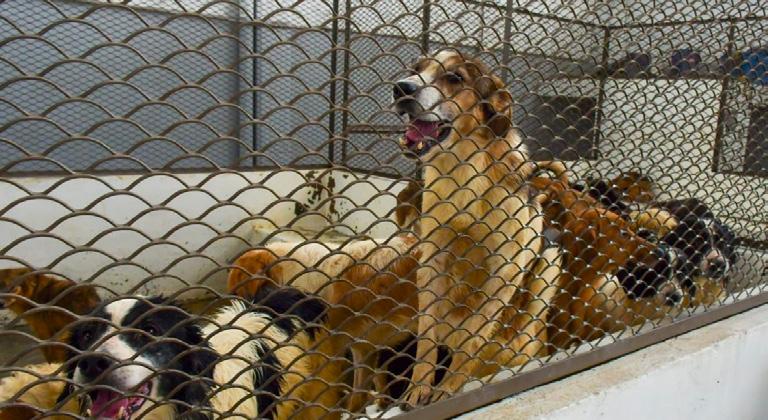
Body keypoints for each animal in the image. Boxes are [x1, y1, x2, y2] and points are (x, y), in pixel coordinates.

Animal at [393, 49, 566, 404]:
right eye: (415, 70)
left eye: (454, 78)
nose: (401, 87)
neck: (463, 170)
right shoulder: (432, 260)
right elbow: (427, 336)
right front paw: (419, 386)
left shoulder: (506, 270)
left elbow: (473, 336)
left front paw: (448, 390)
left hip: (550, 259)